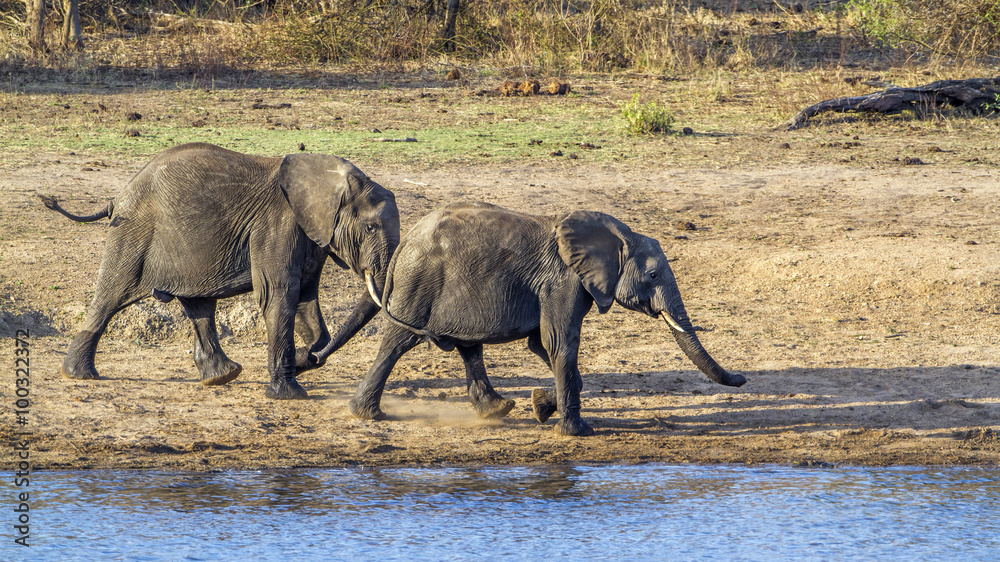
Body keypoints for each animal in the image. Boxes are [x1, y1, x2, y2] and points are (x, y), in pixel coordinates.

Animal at [41, 142, 399, 399]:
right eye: (369, 228)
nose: (307, 361)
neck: (330, 177)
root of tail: (117, 198)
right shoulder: (276, 225)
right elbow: (280, 295)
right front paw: (289, 393)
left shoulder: (312, 236)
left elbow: (306, 300)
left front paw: (302, 361)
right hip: (133, 233)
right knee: (111, 296)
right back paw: (78, 374)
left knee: (199, 306)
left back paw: (223, 376)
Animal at [347, 201, 746, 436]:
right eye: (652, 276)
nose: (742, 378)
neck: (619, 234)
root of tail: (403, 243)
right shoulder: (563, 281)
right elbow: (560, 343)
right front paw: (577, 432)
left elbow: (543, 344)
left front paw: (541, 406)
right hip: (420, 284)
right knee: (398, 341)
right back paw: (367, 415)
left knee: (467, 346)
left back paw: (498, 410)